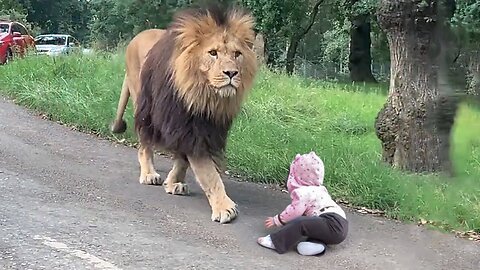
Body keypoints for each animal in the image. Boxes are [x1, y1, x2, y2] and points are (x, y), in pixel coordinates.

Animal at [110, 4, 256, 224]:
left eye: (237, 54)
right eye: (213, 53)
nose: (231, 73)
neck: (205, 96)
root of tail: (137, 36)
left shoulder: (204, 128)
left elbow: (184, 159)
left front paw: (174, 183)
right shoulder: (182, 123)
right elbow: (208, 172)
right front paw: (224, 207)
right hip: (143, 104)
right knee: (145, 142)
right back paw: (149, 173)